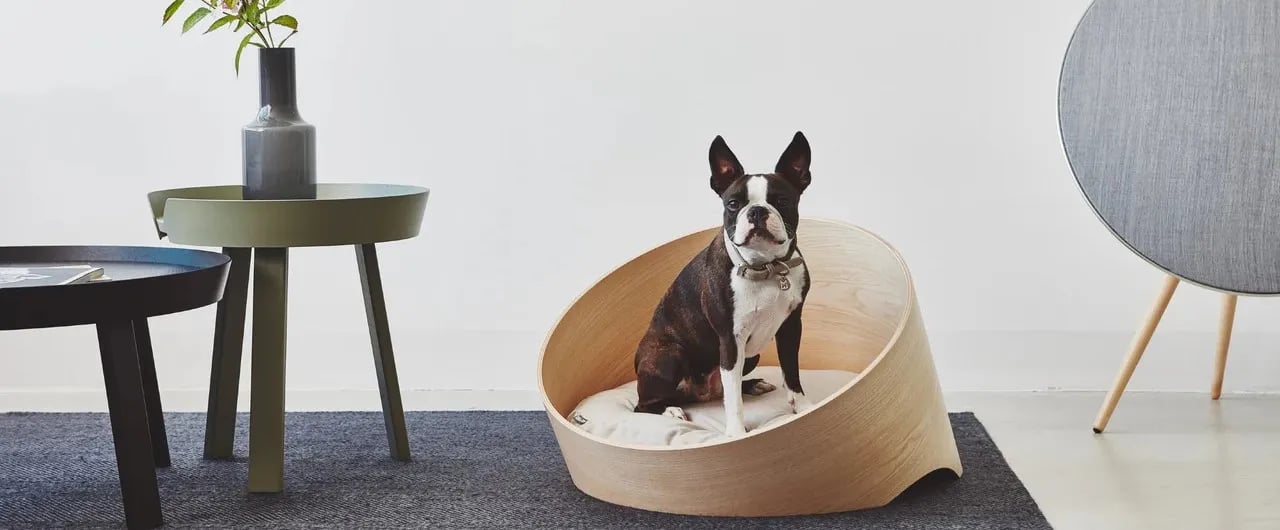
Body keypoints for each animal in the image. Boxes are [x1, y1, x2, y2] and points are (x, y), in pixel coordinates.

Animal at [634, 131, 814, 435]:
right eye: (733, 204)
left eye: (782, 201)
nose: (756, 211)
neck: (764, 267)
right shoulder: (730, 340)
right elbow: (734, 401)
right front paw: (736, 433)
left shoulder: (791, 327)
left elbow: (791, 372)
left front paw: (803, 408)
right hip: (668, 355)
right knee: (643, 405)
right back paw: (670, 409)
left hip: (750, 357)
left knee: (723, 390)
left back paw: (751, 385)